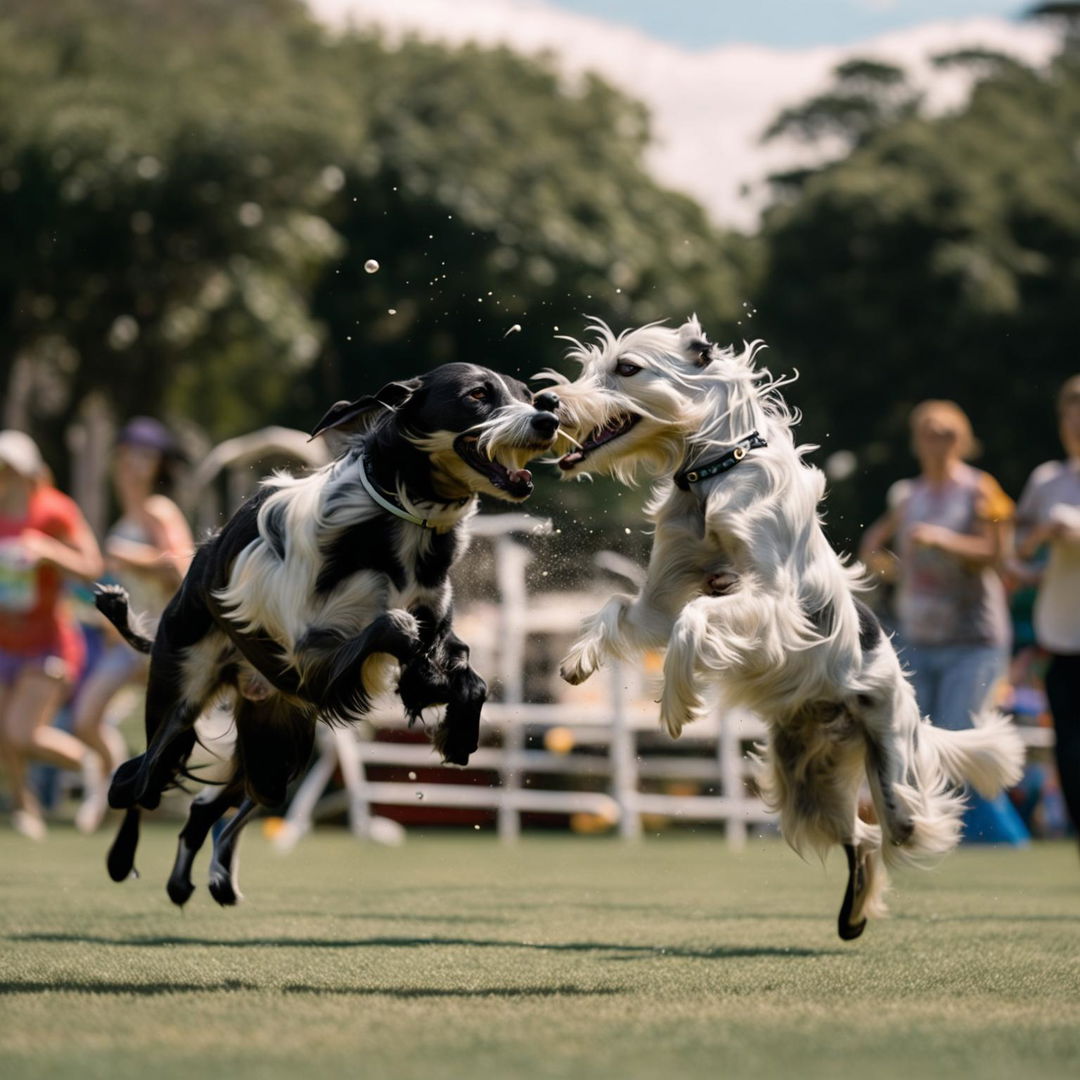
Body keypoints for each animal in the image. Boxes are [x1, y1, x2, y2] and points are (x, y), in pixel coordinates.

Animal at [99, 362, 565, 902]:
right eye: (477, 395)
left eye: (529, 395)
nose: (548, 417)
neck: (402, 520)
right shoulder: (309, 653)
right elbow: (394, 626)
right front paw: (429, 684)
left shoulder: (430, 621)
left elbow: (468, 674)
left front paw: (458, 730)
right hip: (180, 703)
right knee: (134, 782)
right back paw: (124, 859)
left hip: (277, 745)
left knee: (215, 803)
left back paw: (202, 880)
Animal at [544, 315, 1023, 941]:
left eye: (627, 368)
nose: (548, 401)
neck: (713, 473)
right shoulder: (658, 601)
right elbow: (617, 608)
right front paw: (579, 659)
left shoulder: (771, 601)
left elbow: (696, 619)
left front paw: (676, 701)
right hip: (804, 784)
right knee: (862, 837)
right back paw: (854, 913)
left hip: (892, 770)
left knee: (902, 825)